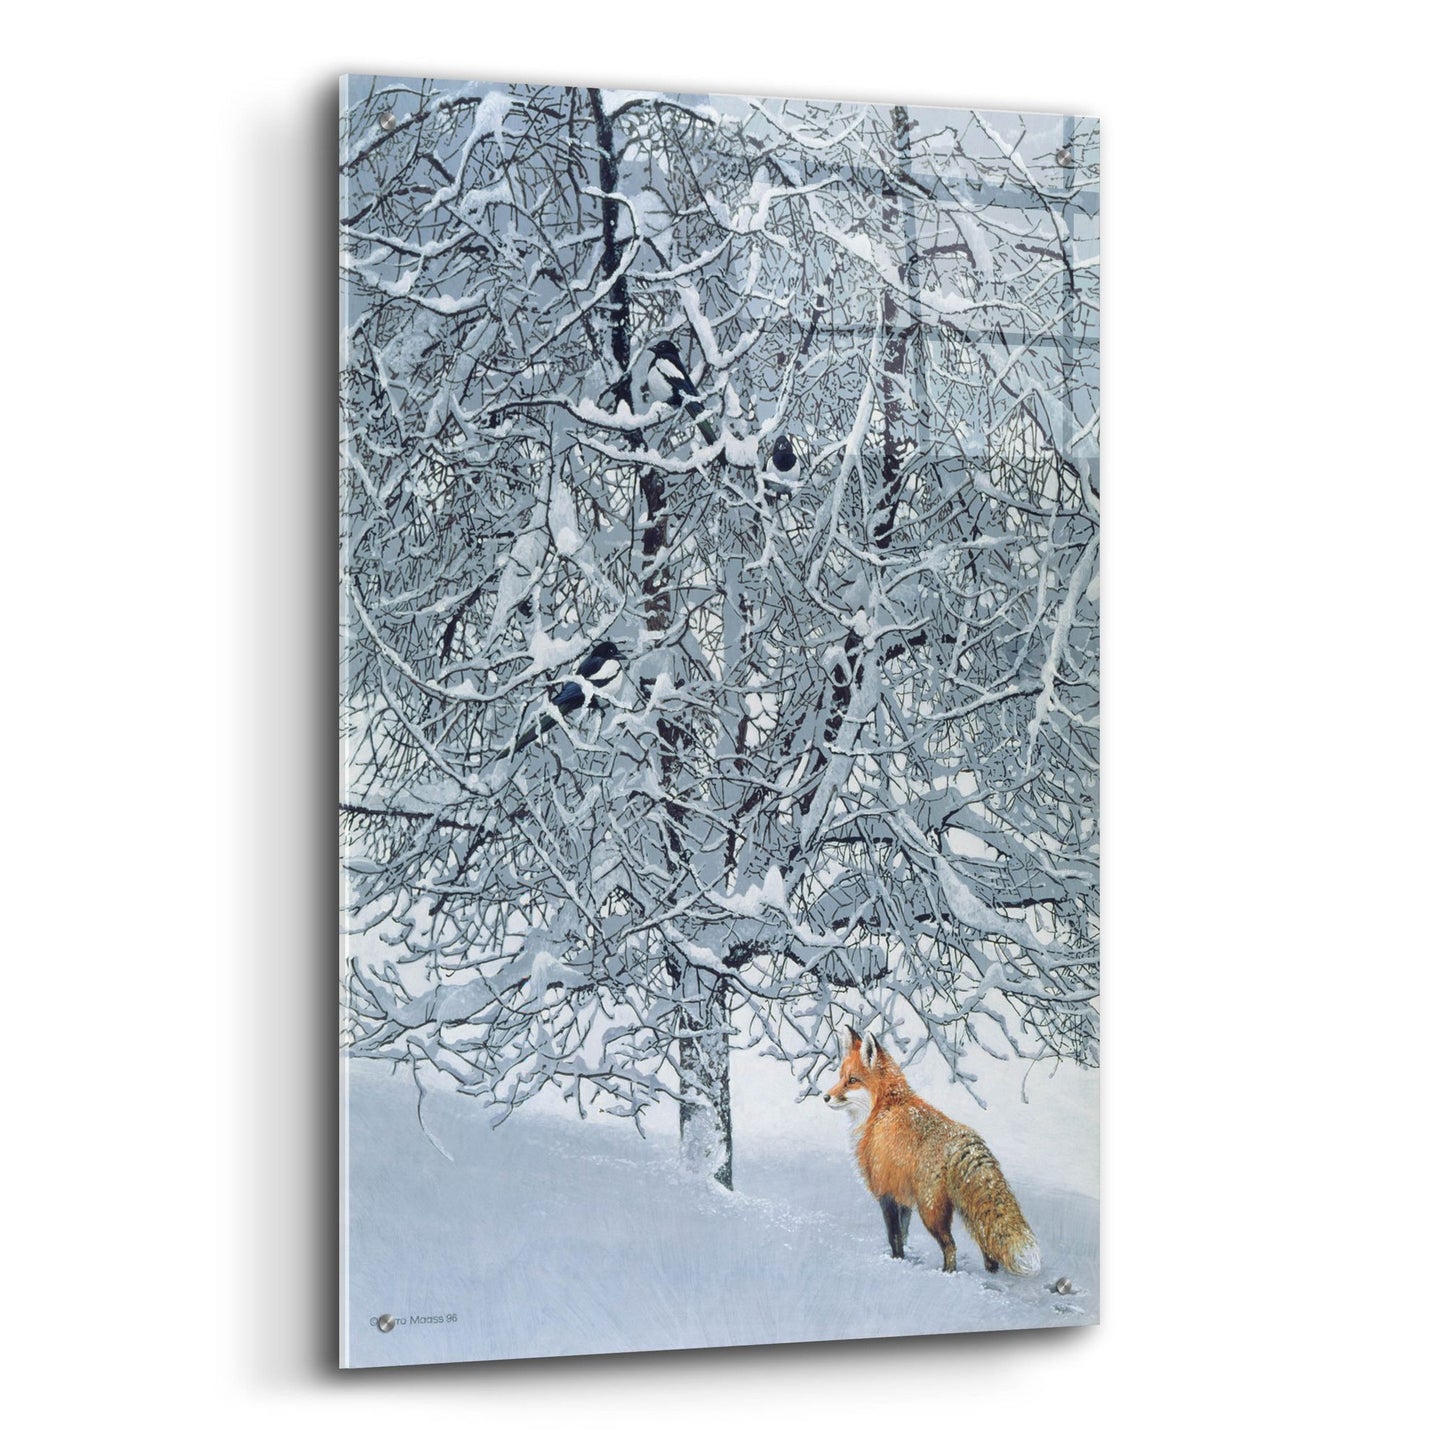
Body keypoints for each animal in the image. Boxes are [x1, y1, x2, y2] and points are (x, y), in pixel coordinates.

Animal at [824, 1025, 1041, 1277]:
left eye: (852, 1080)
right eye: (840, 1077)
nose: (825, 1097)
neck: (882, 1110)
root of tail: (960, 1139)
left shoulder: (886, 1191)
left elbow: (894, 1236)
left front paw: (896, 1262)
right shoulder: (903, 1197)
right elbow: (904, 1234)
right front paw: (904, 1260)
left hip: (930, 1211)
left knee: (951, 1246)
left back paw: (947, 1274)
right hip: (962, 1209)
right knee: (984, 1241)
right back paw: (991, 1271)